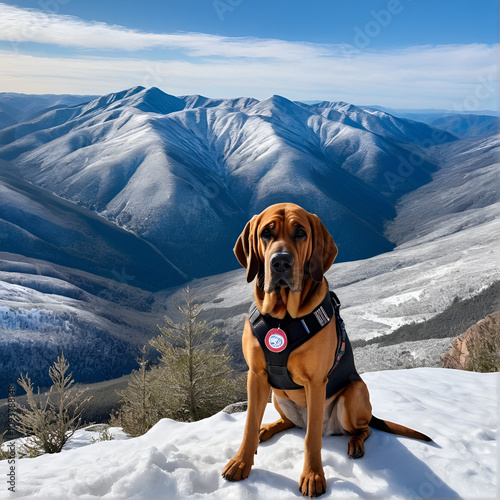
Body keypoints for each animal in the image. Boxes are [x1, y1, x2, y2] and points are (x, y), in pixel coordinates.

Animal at [223, 202, 430, 496]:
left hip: (354, 394)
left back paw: (355, 445)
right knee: (290, 422)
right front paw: (241, 462)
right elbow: (249, 424)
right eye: (266, 233)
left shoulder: (316, 382)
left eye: (300, 232)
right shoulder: (257, 376)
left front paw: (313, 476)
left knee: (362, 429)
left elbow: (311, 440)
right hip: (278, 395)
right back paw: (270, 427)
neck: (282, 318)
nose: (281, 262)